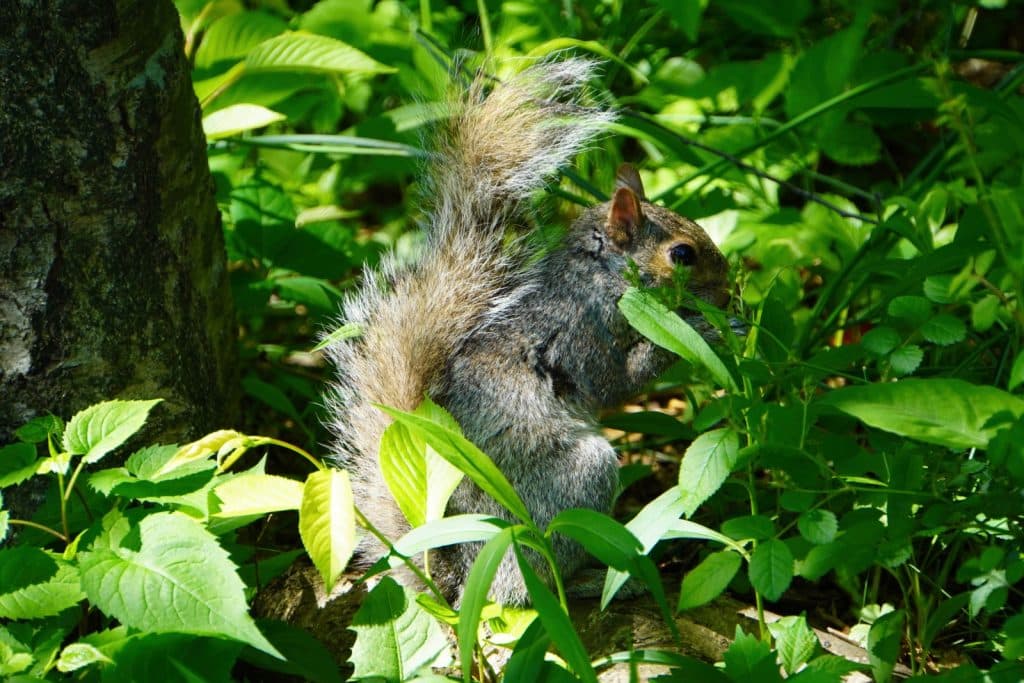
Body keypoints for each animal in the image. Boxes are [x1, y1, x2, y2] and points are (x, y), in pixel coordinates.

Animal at [325, 58, 730, 605]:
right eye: (682, 254)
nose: (728, 292)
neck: (596, 277)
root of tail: (454, 572)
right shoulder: (581, 332)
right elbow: (619, 381)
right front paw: (705, 328)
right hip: (574, 484)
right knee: (525, 587)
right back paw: (590, 581)